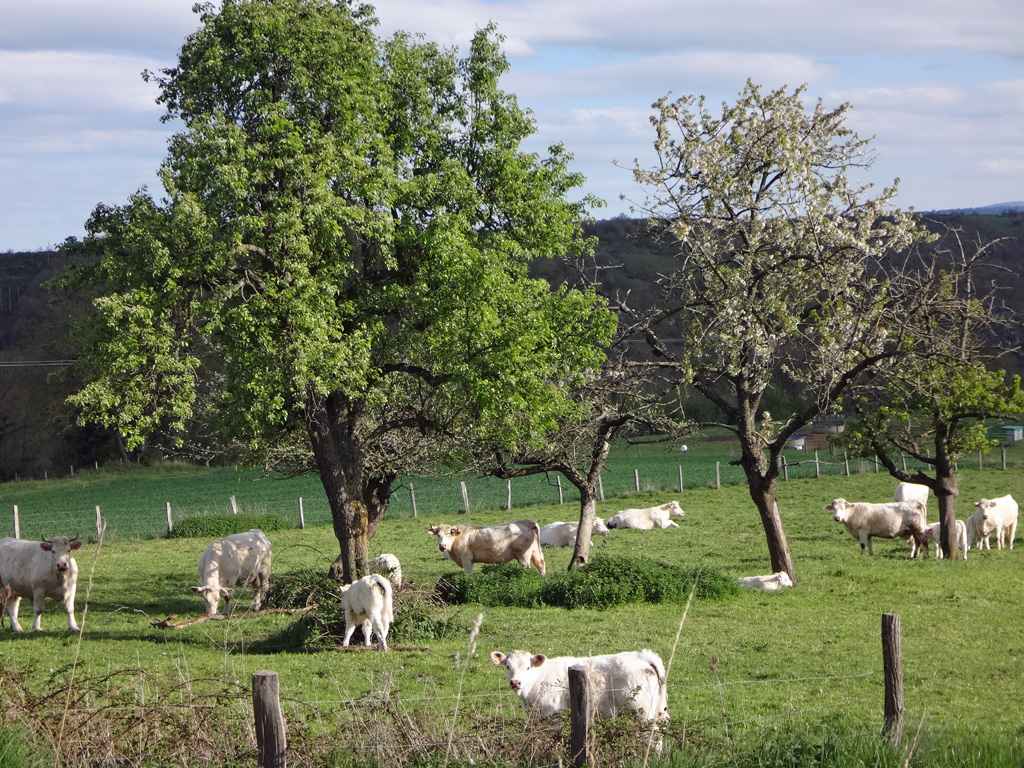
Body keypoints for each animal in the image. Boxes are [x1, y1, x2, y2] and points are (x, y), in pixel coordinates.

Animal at [489, 647, 667, 724]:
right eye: (507, 666)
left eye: (527, 667)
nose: (515, 682)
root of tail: (642, 656)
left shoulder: (553, 713)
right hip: (658, 709)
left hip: (641, 710)